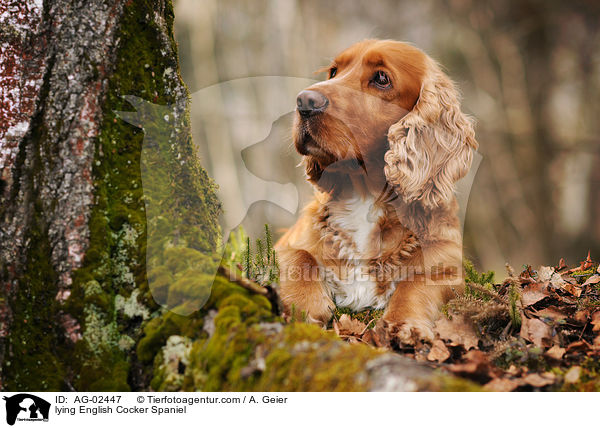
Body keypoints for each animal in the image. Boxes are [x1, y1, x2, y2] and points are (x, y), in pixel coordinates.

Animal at [276, 38, 478, 342]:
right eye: (333, 71)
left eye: (382, 79)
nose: (304, 101)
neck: (364, 196)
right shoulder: (284, 245)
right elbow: (299, 257)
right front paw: (303, 307)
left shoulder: (448, 267)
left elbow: (417, 283)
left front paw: (403, 322)